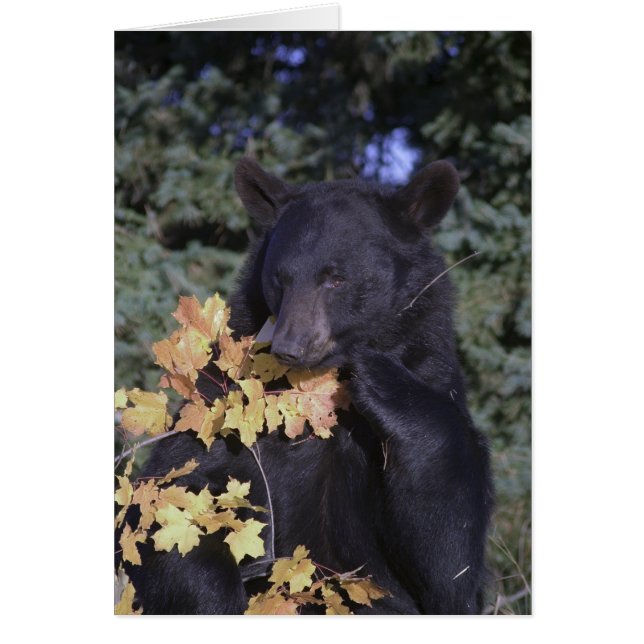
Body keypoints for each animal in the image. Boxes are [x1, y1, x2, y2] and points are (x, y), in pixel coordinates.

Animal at [120, 157, 494, 615]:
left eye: (335, 278)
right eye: (280, 278)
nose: (290, 347)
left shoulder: (433, 376)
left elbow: (447, 561)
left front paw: (380, 380)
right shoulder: (221, 403)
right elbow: (177, 498)